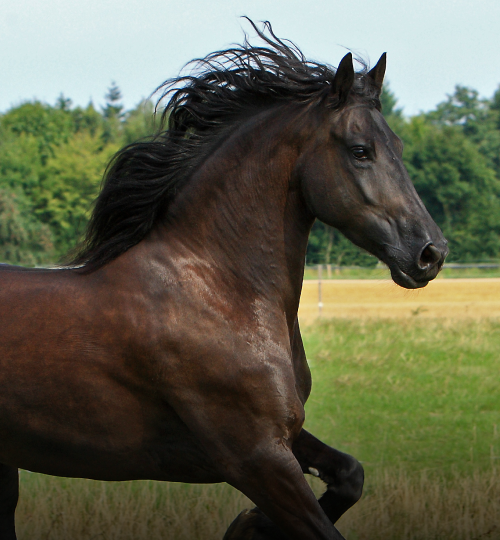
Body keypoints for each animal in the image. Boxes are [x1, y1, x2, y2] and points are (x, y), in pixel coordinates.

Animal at [0, 21, 446, 540]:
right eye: (360, 151)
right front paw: (251, 523)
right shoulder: (254, 456)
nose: (430, 253)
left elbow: (349, 475)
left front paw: (248, 525)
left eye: (398, 147)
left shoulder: (282, 435)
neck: (220, 291)